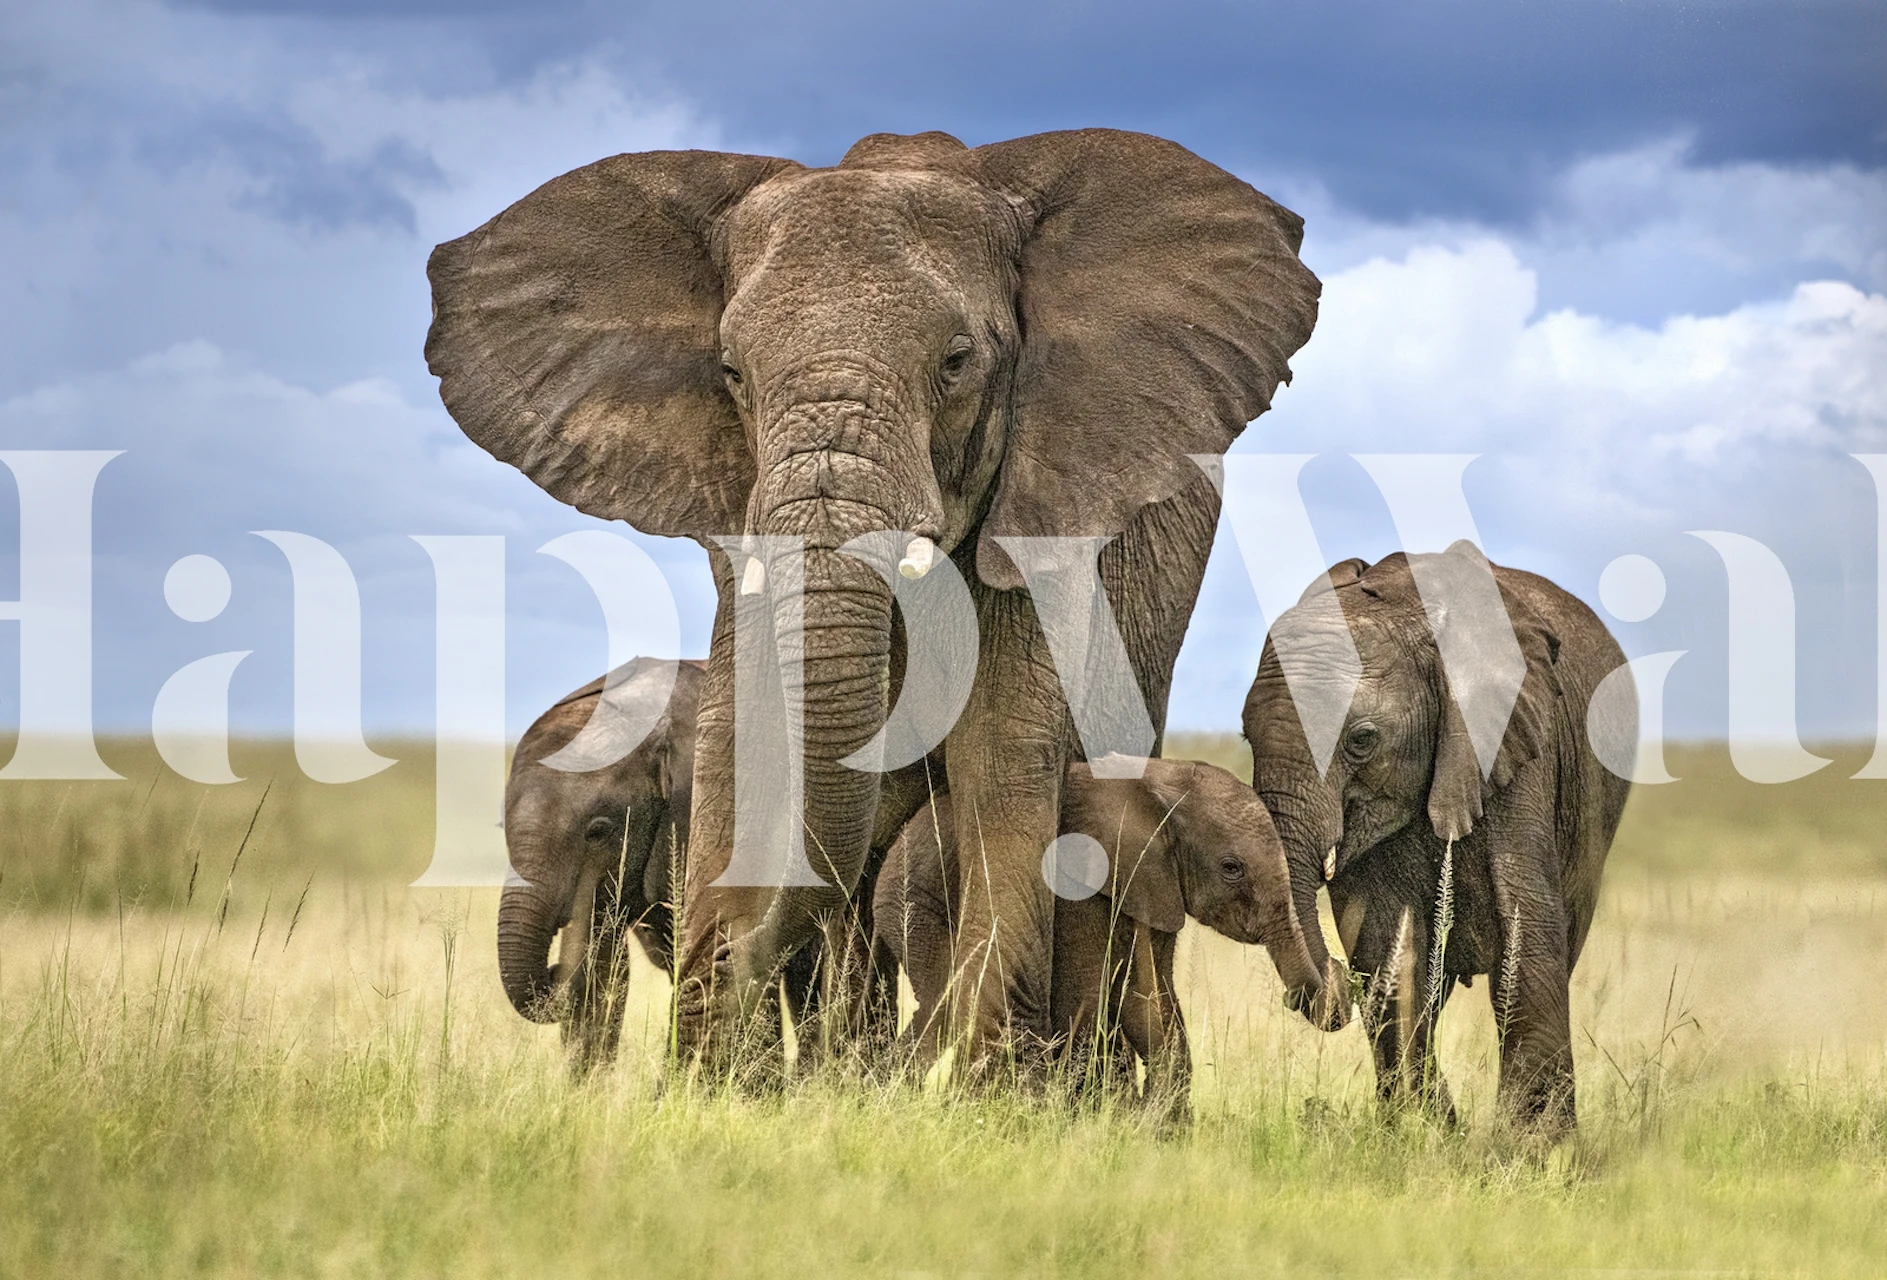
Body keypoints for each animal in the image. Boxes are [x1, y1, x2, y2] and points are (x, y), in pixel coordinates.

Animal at [426, 127, 1322, 1071]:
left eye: (957, 363)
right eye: (731, 371)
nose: (729, 948)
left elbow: (1003, 753)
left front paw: (993, 1093)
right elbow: (743, 735)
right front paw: (710, 1083)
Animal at [871, 756, 1327, 1118]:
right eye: (1232, 868)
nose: (1294, 998)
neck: (1161, 784)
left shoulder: (1156, 884)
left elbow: (1148, 999)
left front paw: (1154, 1126)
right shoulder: (1079, 881)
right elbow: (1087, 994)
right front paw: (1106, 1116)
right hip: (912, 905)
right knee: (944, 1002)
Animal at [1243, 542, 1631, 1133]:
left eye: (1361, 740)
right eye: (1245, 736)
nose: (1334, 982)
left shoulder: (1516, 748)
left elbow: (1526, 934)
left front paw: (1534, 1145)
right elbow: (1387, 953)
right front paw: (1426, 1132)